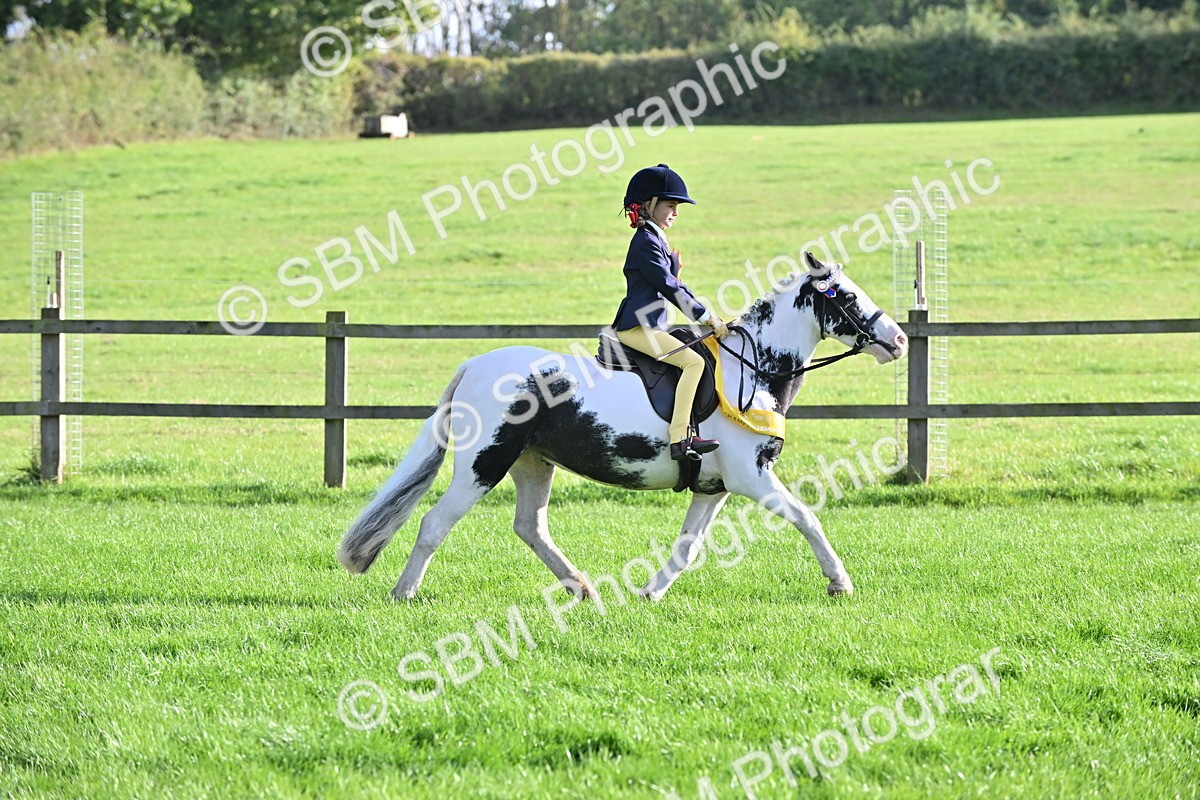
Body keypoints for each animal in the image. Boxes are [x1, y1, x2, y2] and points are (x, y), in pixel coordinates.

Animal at [337, 252, 908, 601]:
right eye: (846, 296)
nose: (899, 340)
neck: (753, 367)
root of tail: (475, 364)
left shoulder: (715, 485)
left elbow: (687, 546)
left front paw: (651, 592)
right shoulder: (752, 478)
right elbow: (807, 518)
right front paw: (839, 583)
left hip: (532, 462)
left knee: (529, 526)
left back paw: (581, 587)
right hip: (484, 463)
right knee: (435, 524)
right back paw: (404, 593)